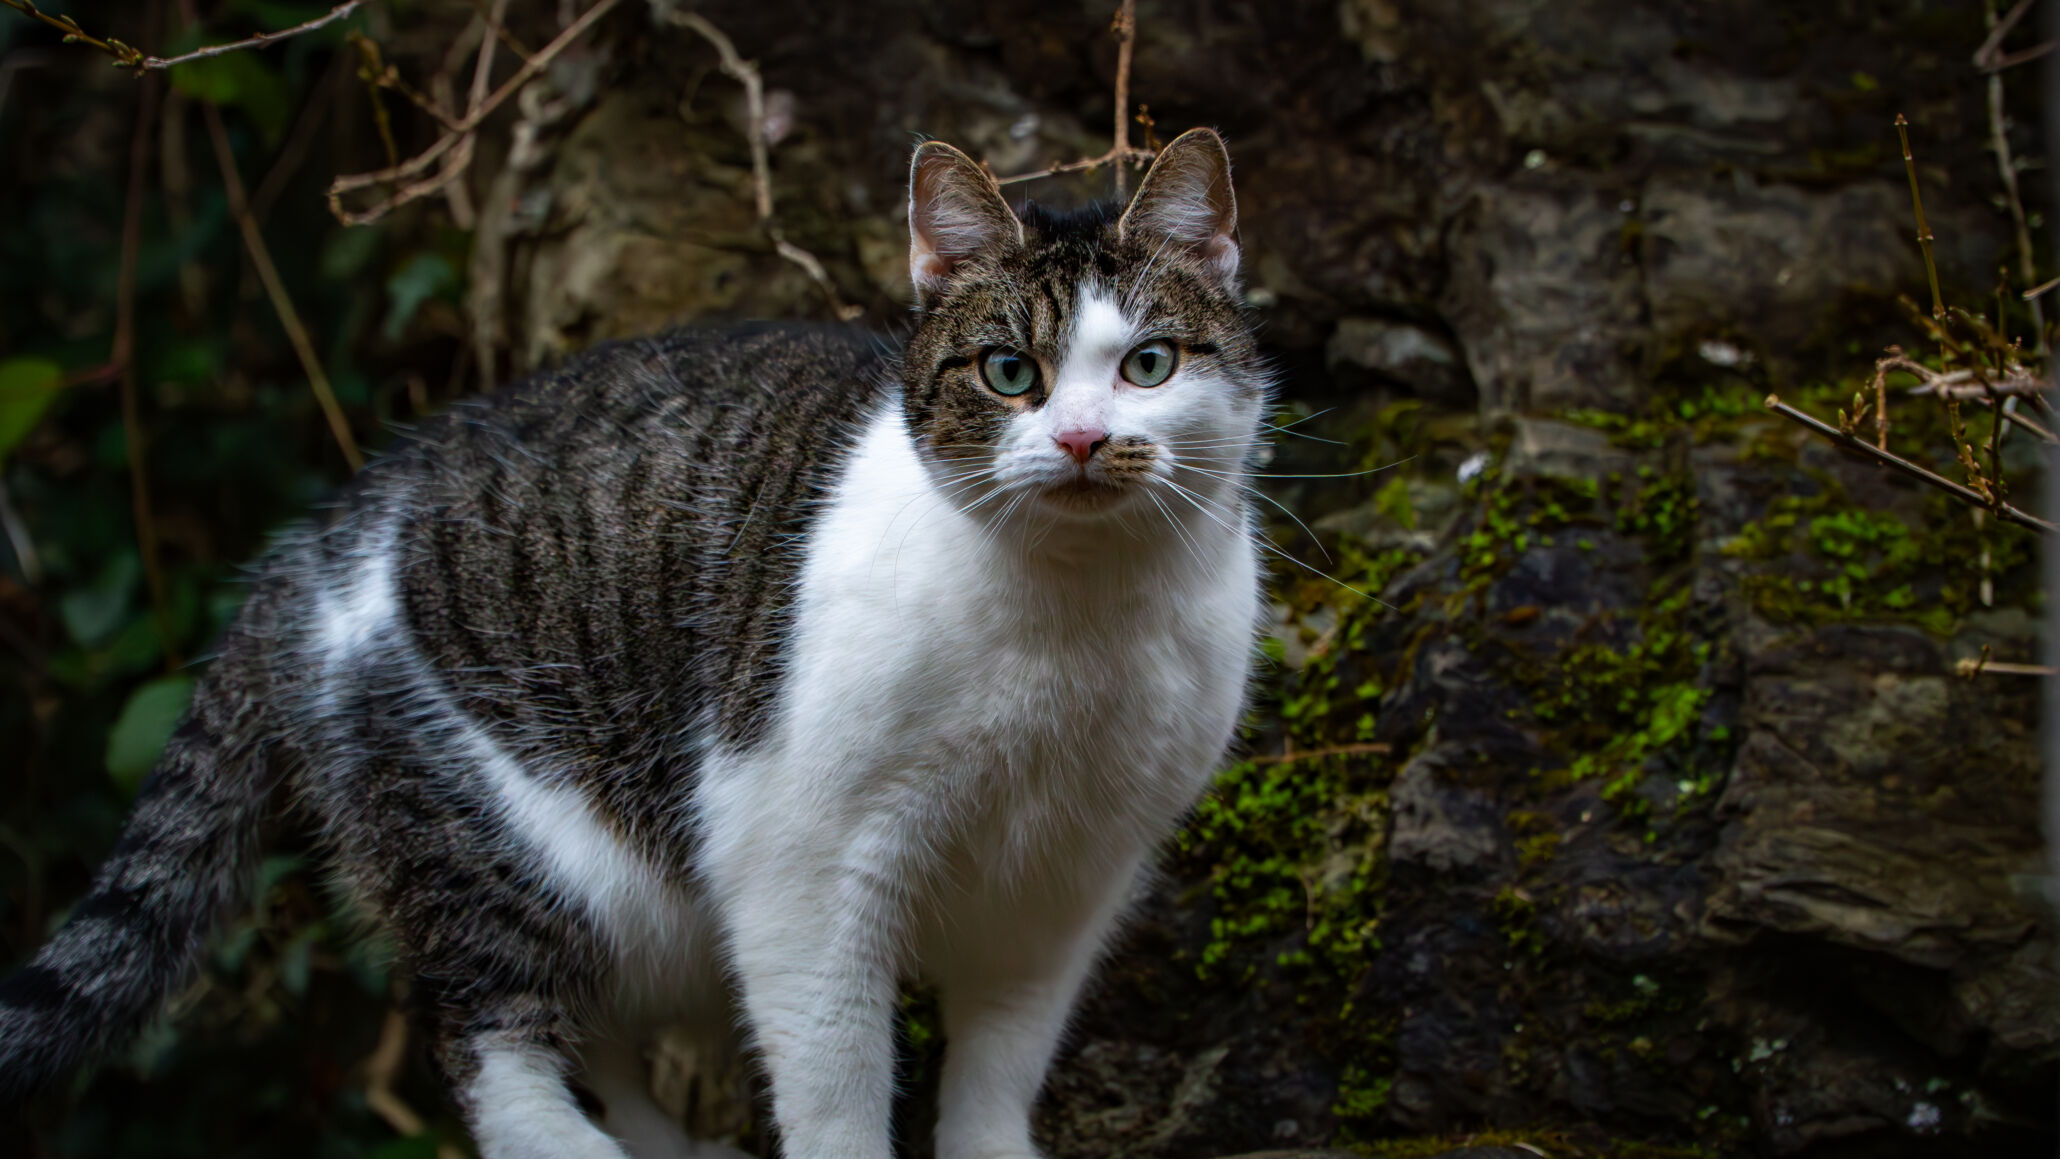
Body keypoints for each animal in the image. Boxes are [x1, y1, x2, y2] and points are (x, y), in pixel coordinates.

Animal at [0, 127, 1260, 1159]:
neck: (1073, 621)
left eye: (1148, 363)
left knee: (590, 1031)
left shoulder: (1066, 878)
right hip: (502, 837)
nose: (1085, 439)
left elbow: (1000, 1061)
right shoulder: (802, 854)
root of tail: (314, 540)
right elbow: (833, 1079)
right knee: (483, 1036)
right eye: (1009, 372)